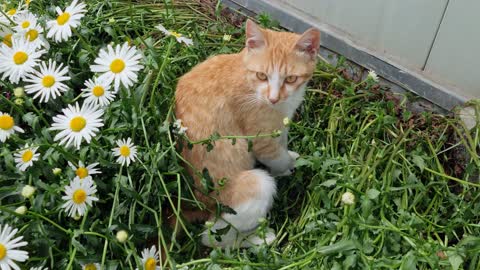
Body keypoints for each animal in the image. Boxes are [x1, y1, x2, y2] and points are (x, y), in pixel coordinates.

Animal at [174, 18, 320, 247]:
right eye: (262, 75)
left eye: (291, 79)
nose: (273, 98)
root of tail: (198, 200)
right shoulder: (262, 139)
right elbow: (277, 156)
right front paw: (286, 167)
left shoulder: (281, 125)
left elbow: (283, 143)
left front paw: (290, 157)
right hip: (253, 188)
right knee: (211, 237)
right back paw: (256, 240)